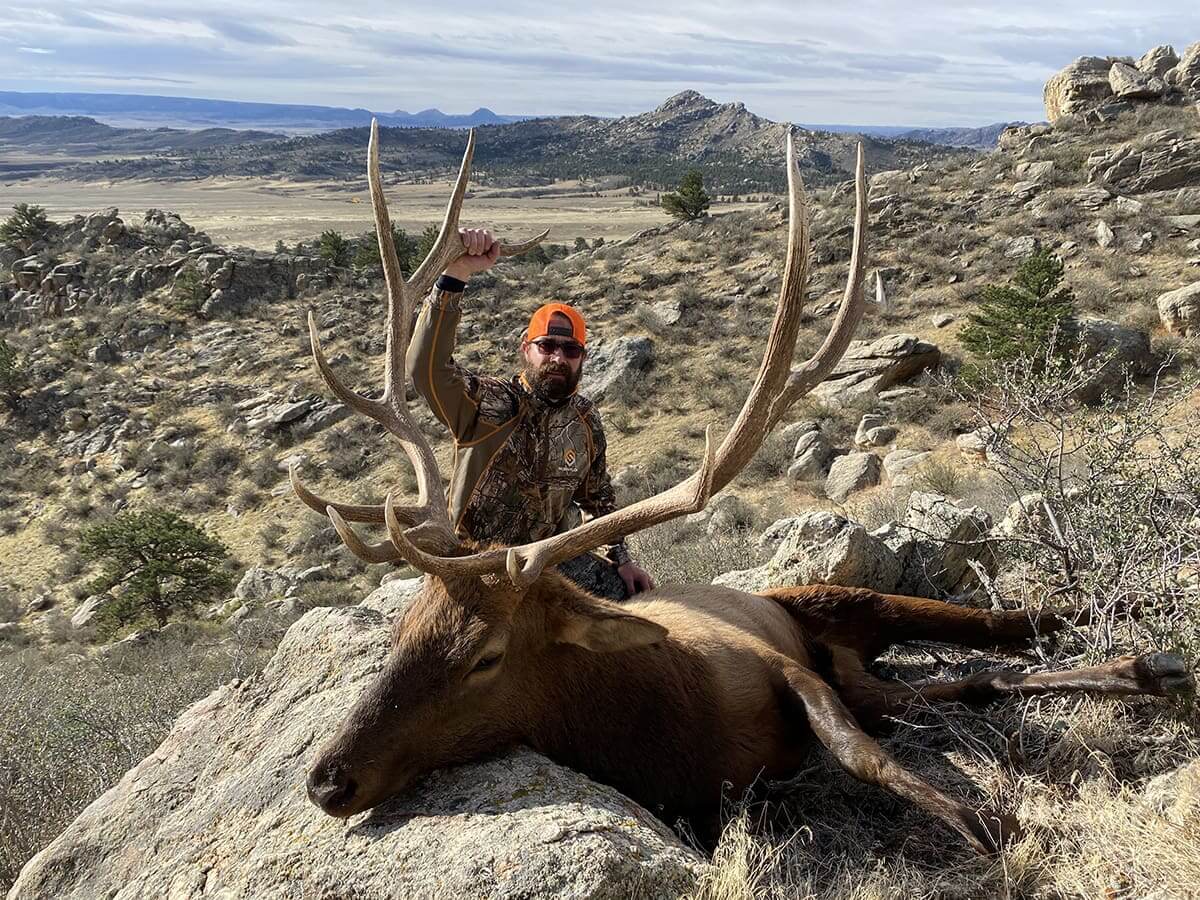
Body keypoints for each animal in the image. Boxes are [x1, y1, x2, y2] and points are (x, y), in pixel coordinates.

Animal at [292, 121, 1190, 854]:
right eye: (402, 632)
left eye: (484, 657)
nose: (327, 779)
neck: (667, 726)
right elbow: (906, 719)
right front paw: (982, 811)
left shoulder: (777, 663)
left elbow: (860, 755)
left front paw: (983, 819)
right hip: (863, 660)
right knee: (977, 677)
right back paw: (1146, 670)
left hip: (838, 598)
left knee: (1012, 621)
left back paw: (1150, 638)